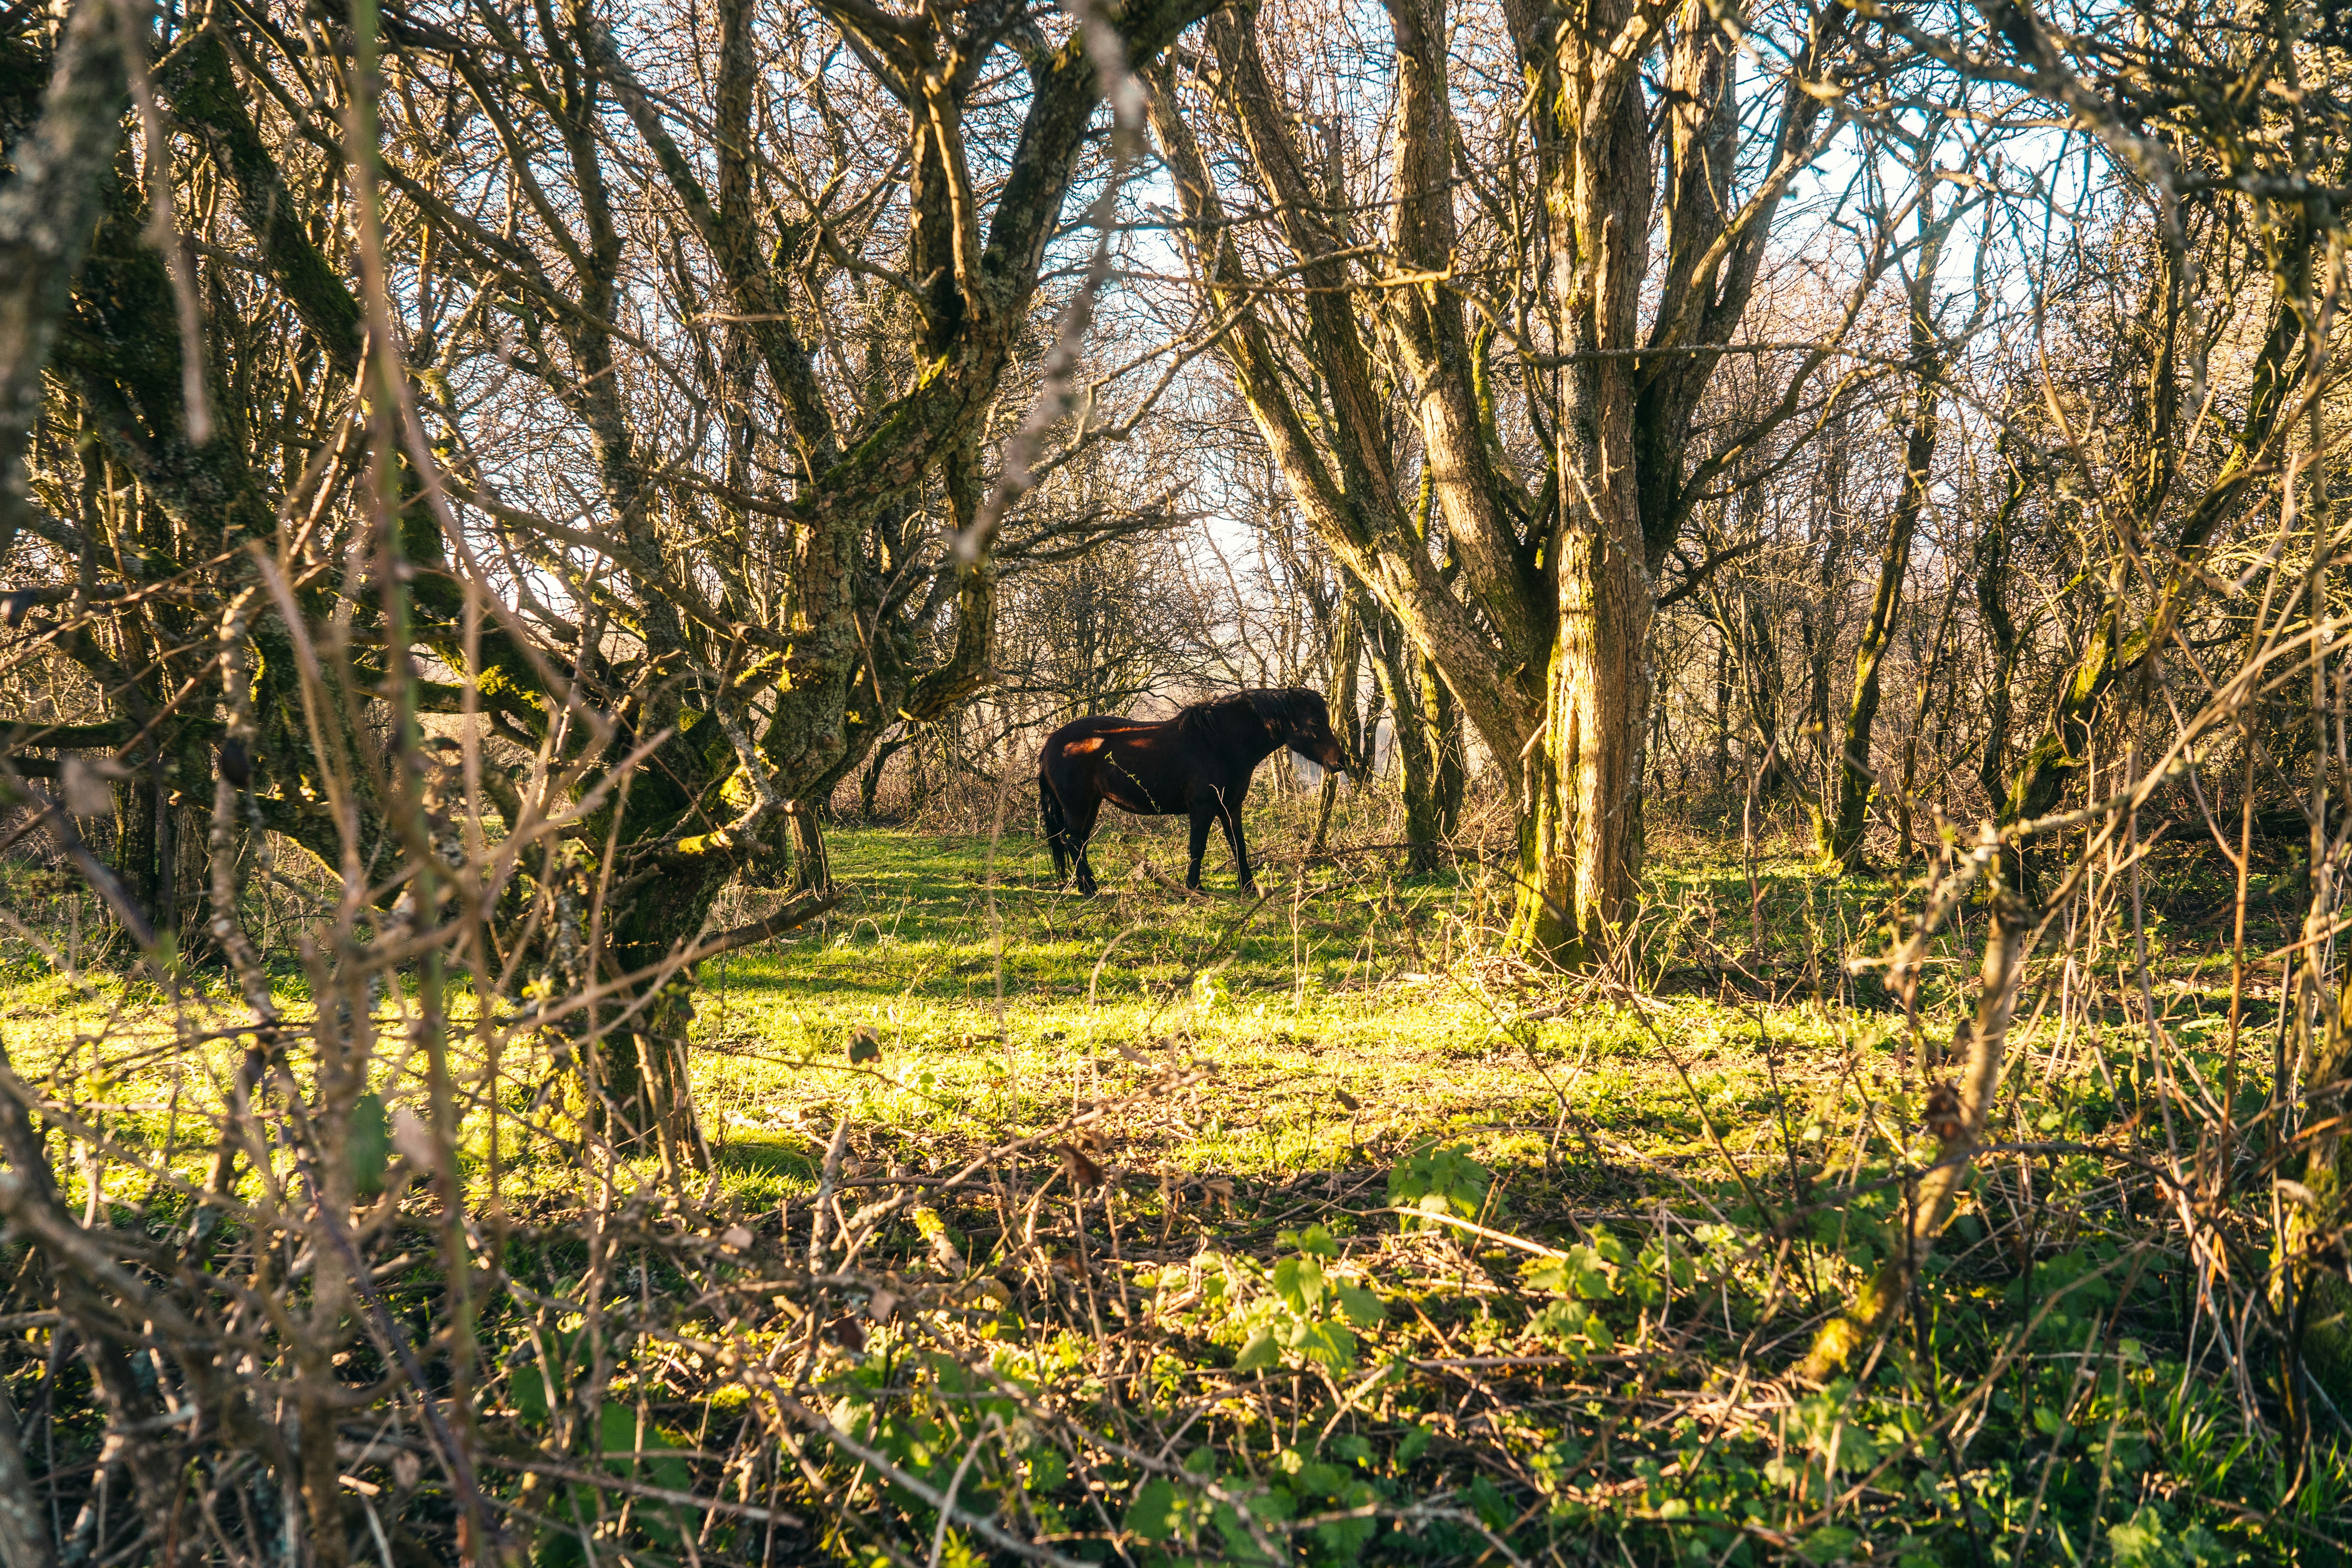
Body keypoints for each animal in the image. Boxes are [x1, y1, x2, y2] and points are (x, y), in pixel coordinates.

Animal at [1037, 688, 1349, 896]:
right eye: (1315, 722)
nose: (1341, 761)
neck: (1221, 743)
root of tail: (1053, 741)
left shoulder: (1230, 806)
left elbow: (1238, 845)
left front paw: (1248, 886)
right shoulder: (1203, 806)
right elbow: (1197, 846)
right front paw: (1194, 887)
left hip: (1091, 804)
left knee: (1077, 842)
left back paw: (1082, 886)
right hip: (1077, 805)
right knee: (1071, 839)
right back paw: (1090, 888)